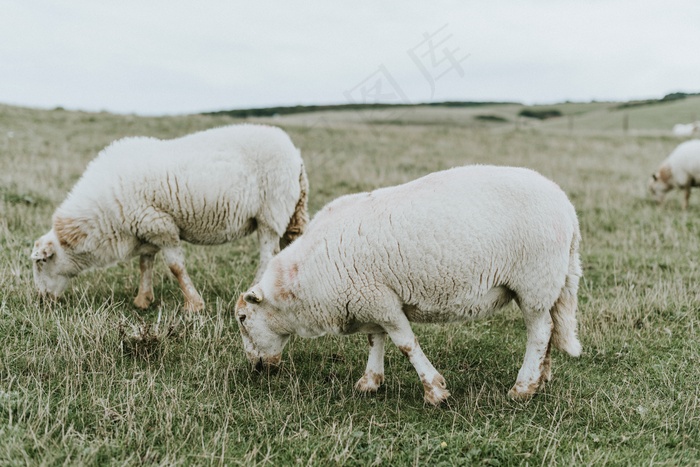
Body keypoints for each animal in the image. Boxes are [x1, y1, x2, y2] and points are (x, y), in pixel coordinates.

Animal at [29, 126, 308, 312]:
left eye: (41, 263)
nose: (41, 300)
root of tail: (295, 154)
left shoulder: (161, 225)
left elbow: (175, 267)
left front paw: (193, 305)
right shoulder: (146, 229)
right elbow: (145, 264)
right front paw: (143, 300)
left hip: (271, 212)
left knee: (268, 255)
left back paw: (253, 289)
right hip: (291, 212)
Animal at [238, 166, 584, 404]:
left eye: (242, 318)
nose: (255, 368)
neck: (303, 281)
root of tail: (567, 208)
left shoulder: (381, 301)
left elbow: (405, 344)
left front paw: (435, 390)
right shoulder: (370, 296)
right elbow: (375, 340)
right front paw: (370, 382)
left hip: (535, 281)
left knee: (539, 333)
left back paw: (522, 388)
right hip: (545, 284)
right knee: (550, 330)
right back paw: (541, 378)